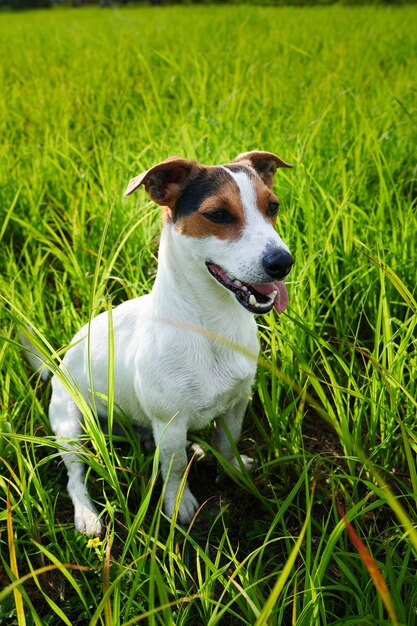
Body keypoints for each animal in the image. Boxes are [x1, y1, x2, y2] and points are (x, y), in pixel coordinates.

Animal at [25, 150, 292, 532]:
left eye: (273, 207)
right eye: (218, 214)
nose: (283, 262)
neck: (212, 326)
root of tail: (57, 366)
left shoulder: (236, 403)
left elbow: (226, 445)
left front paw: (234, 471)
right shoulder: (170, 423)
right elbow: (175, 469)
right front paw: (179, 504)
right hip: (69, 426)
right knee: (75, 476)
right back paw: (87, 515)